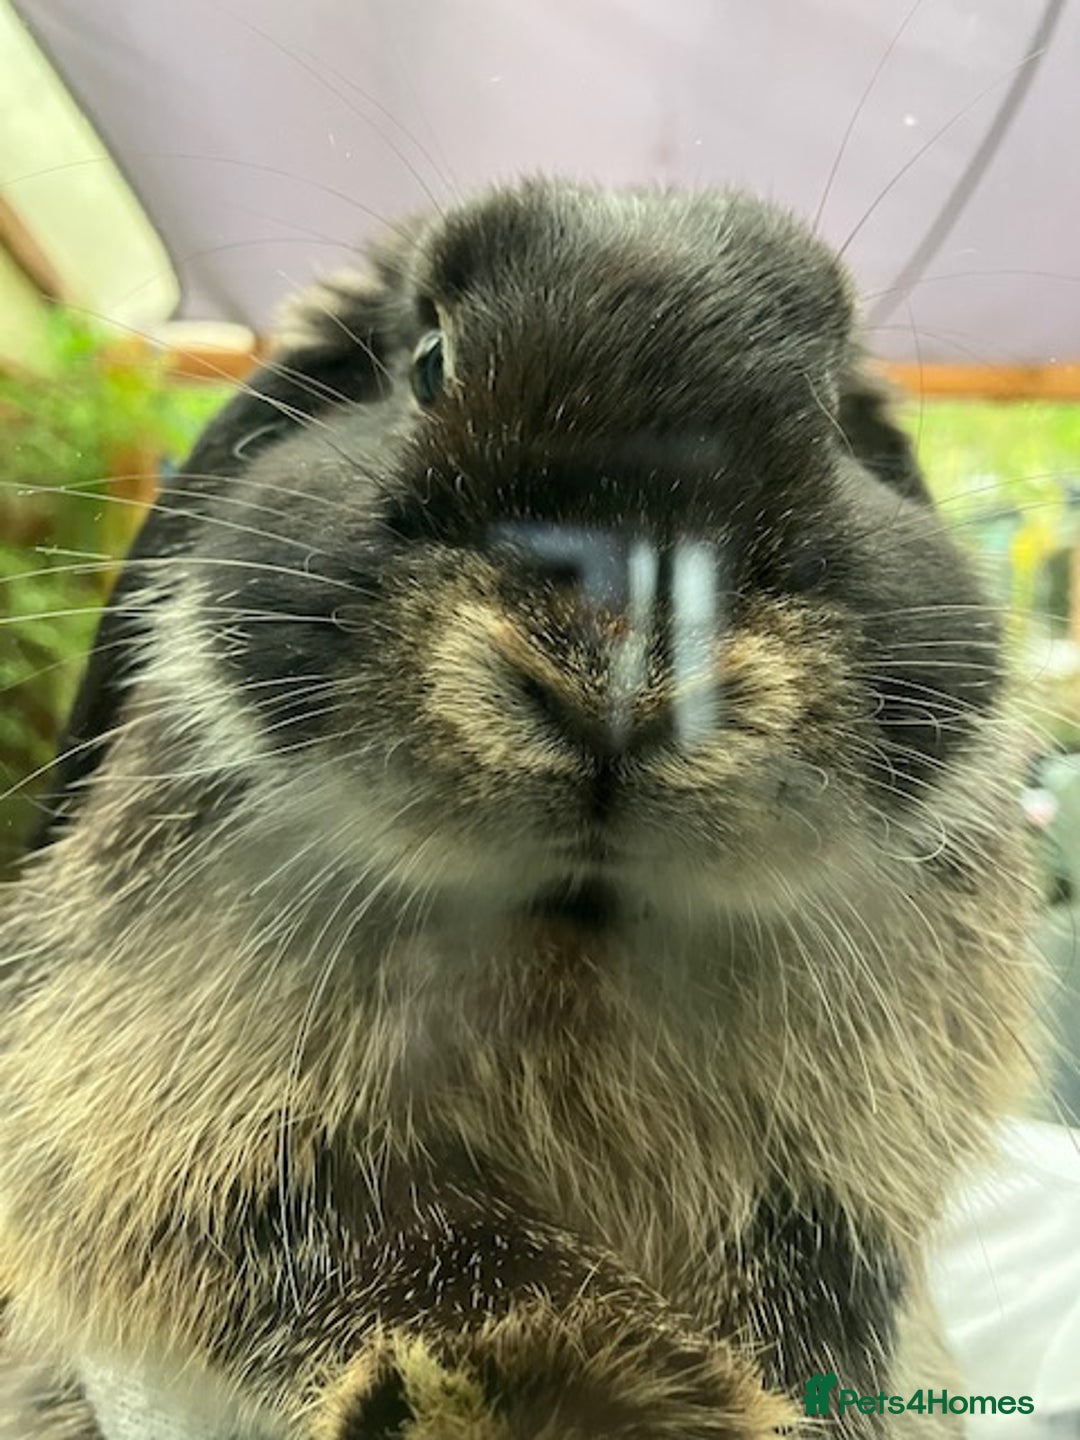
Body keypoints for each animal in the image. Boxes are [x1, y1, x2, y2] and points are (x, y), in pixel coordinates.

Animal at [0, 177, 1042, 1439]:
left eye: (835, 420)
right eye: (428, 361)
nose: (618, 671)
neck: (574, 938)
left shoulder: (829, 1188)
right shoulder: (186, 1130)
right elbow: (409, 1248)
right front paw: (566, 1388)